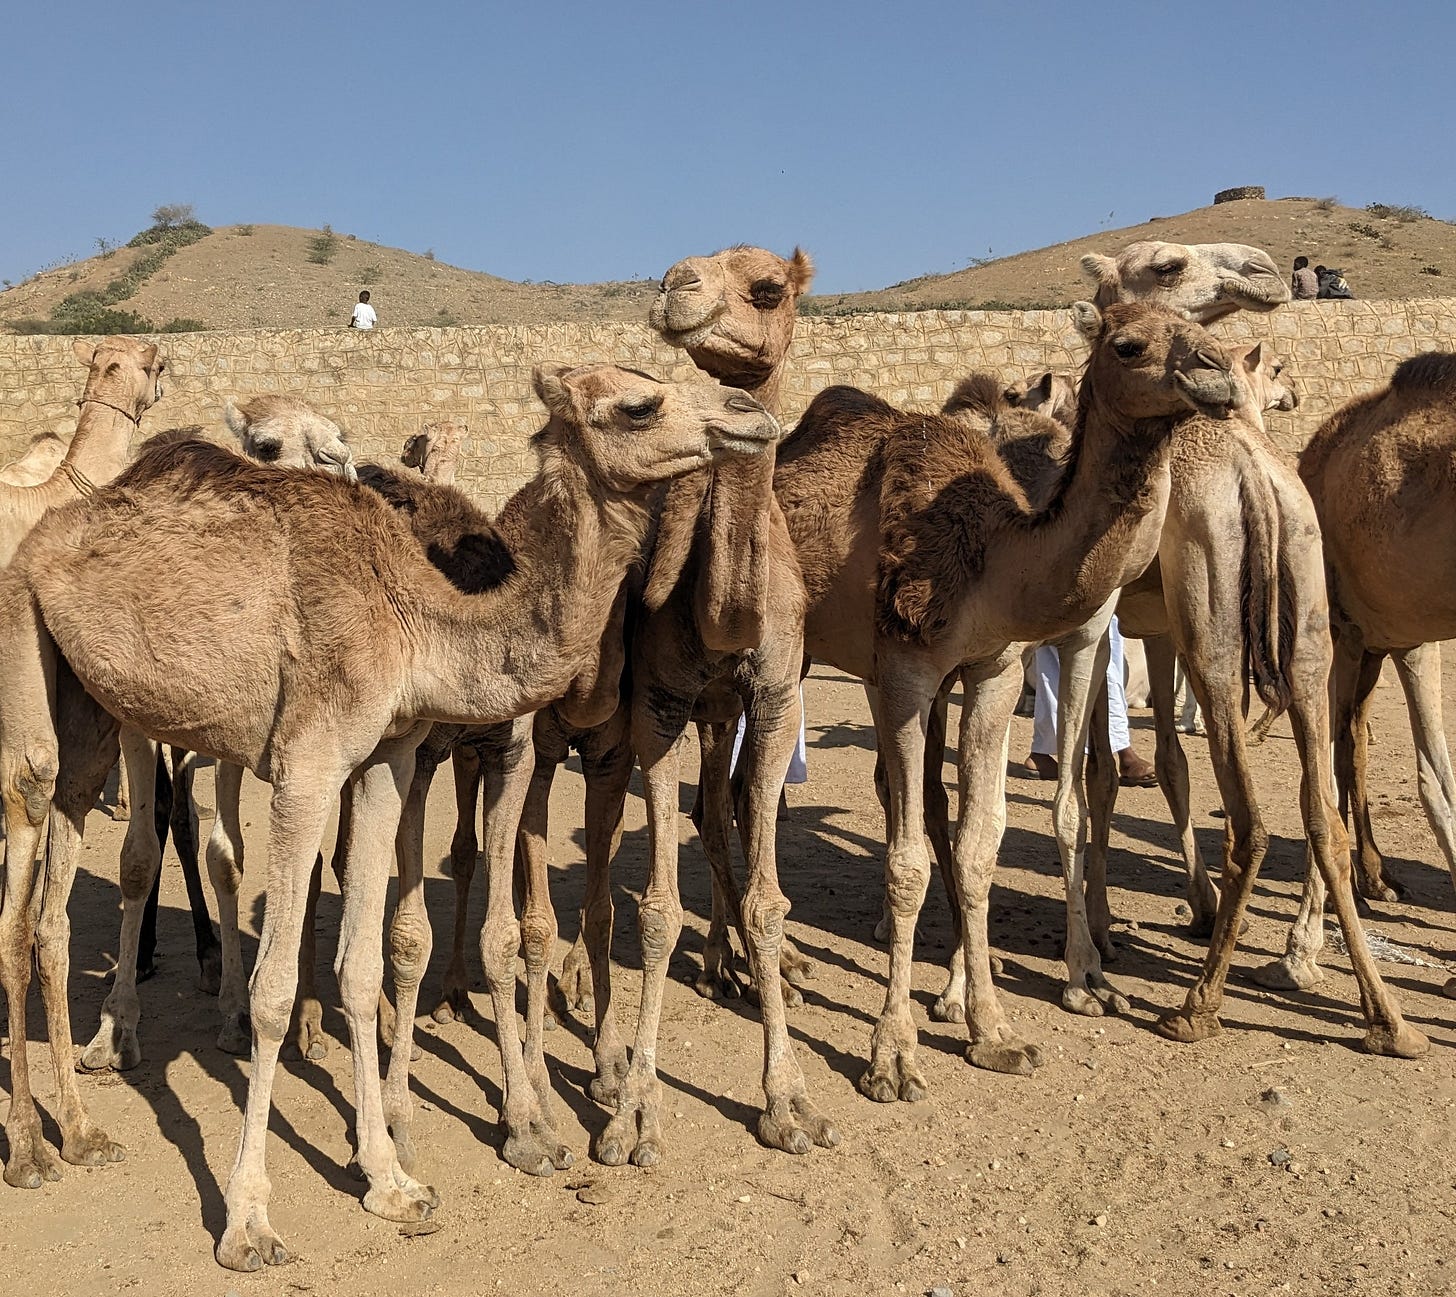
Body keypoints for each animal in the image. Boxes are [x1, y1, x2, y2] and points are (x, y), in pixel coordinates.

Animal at [0, 365, 778, 1274]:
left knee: (55, 906)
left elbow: (365, 963)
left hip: (93, 710)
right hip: (27, 648)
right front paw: (248, 1219)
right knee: (30, 842)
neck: (414, 617)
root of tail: (48, 530)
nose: (751, 413)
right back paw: (31, 1147)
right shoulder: (306, 767)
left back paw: (82, 1129)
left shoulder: (384, 761)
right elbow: (273, 991)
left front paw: (390, 1178)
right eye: (638, 404)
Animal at [1260, 351, 1456, 999]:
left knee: (1358, 742)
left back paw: (1376, 880)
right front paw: (1300, 950)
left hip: (1386, 636)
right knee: (1345, 747)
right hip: (1353, 629)